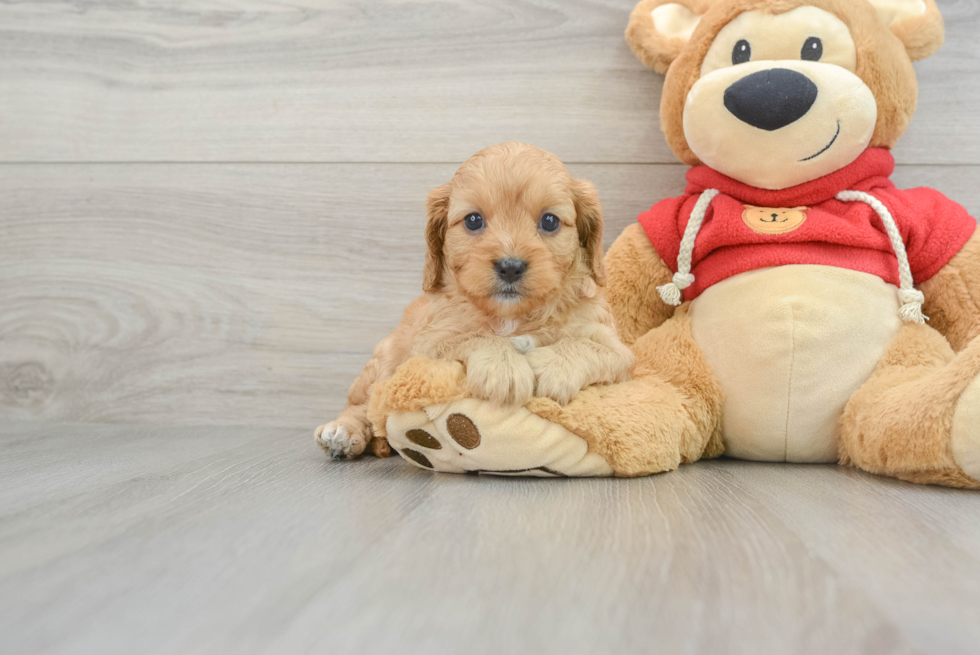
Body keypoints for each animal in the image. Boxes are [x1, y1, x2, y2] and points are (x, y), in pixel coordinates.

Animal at [316, 144, 636, 462]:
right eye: (473, 220)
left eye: (550, 221)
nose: (510, 267)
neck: (512, 316)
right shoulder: (428, 344)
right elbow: (474, 336)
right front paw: (503, 367)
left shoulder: (618, 350)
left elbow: (590, 345)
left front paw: (554, 367)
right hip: (385, 359)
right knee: (362, 404)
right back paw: (342, 433)